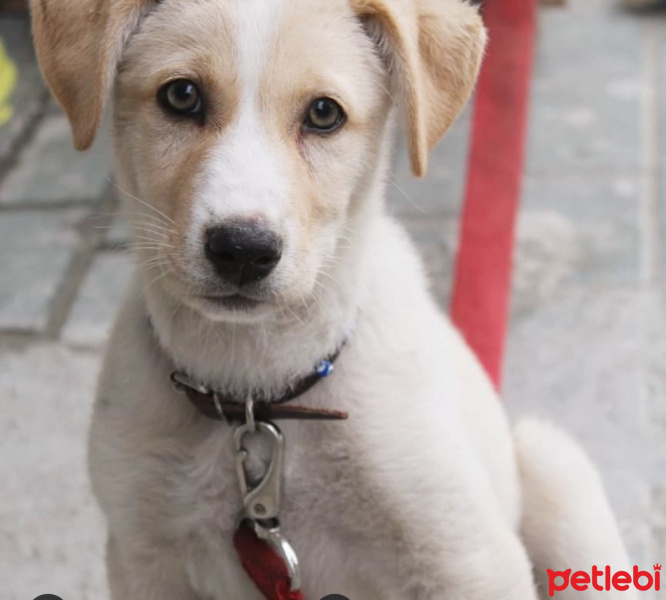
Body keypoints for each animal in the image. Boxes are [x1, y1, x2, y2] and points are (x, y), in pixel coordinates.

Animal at [31, 1, 632, 600]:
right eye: (181, 96)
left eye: (324, 113)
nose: (243, 250)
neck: (257, 396)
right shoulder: (143, 553)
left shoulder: (470, 559)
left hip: (555, 470)